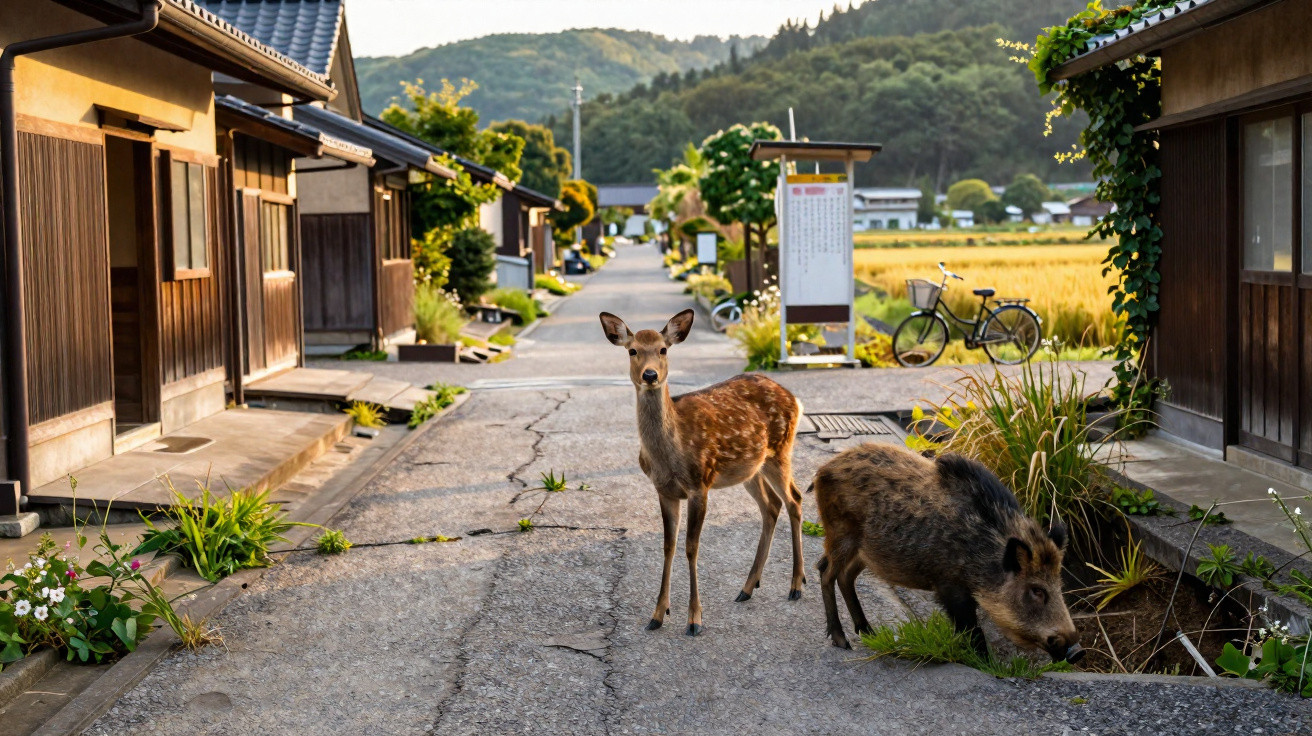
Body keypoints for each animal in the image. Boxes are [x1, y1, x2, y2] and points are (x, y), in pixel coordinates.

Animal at [599, 308, 805, 636]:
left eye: (663, 349)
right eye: (632, 351)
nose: (650, 375)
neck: (670, 453)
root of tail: (794, 397)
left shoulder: (700, 484)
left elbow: (691, 547)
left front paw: (694, 619)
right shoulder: (664, 490)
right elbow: (668, 546)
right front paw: (657, 614)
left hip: (780, 450)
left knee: (794, 499)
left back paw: (796, 586)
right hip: (751, 467)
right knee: (772, 505)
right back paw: (747, 587)